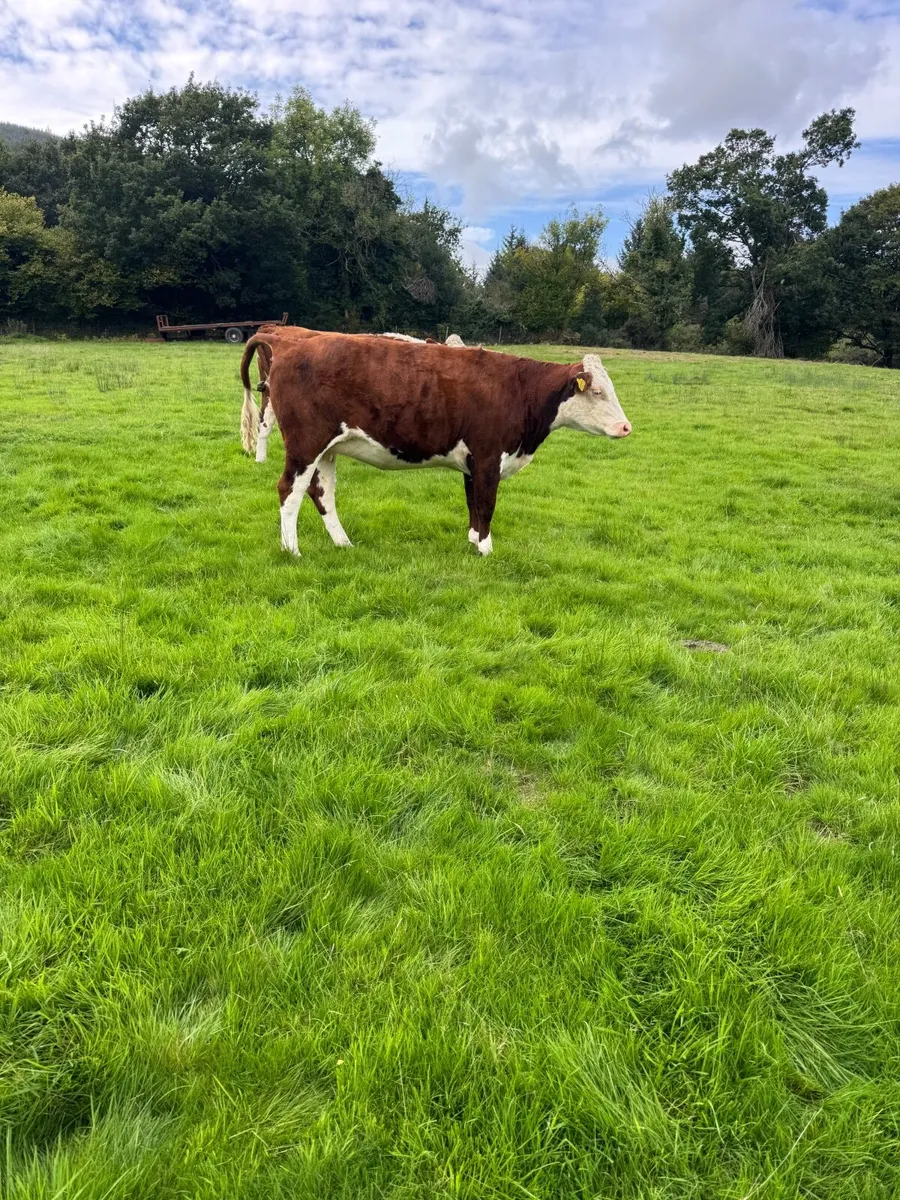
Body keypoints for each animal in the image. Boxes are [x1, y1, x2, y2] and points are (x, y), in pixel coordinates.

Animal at [241, 331, 631, 557]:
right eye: (597, 391)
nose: (627, 427)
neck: (518, 390)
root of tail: (290, 345)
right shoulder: (488, 457)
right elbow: (487, 504)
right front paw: (487, 550)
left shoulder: (472, 462)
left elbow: (473, 503)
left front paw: (473, 541)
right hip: (305, 444)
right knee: (289, 491)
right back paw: (292, 550)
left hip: (328, 449)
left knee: (321, 493)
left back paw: (343, 543)